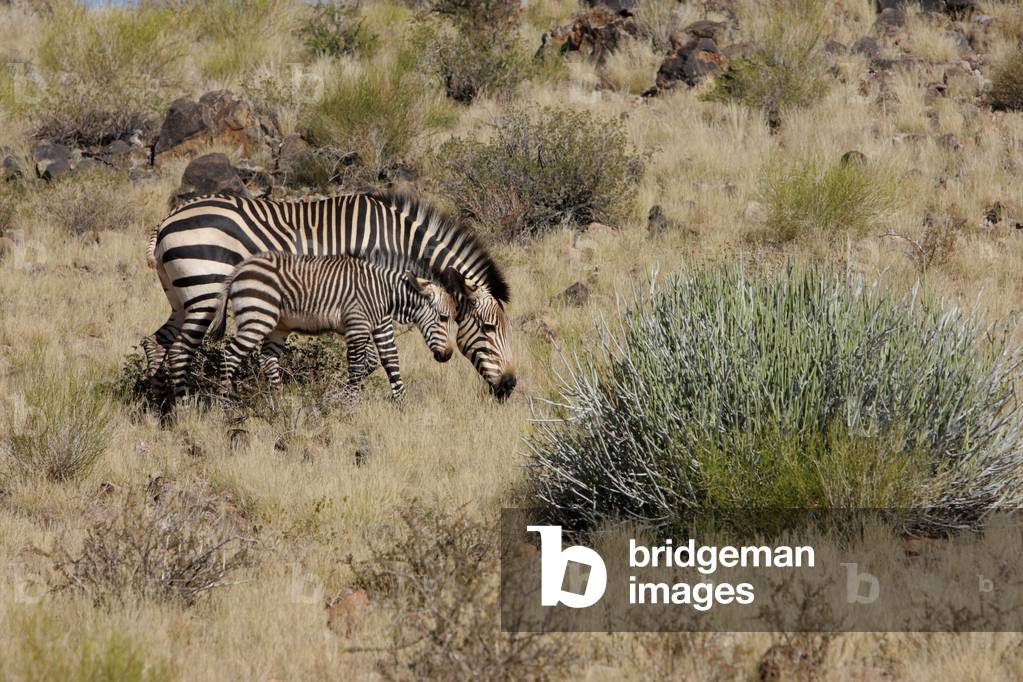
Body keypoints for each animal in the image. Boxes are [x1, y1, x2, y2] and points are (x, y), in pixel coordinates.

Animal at [209, 252, 457, 401]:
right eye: (444, 318)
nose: (447, 356)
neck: (385, 293)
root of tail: (240, 267)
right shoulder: (357, 327)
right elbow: (357, 366)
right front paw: (349, 404)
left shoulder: (376, 326)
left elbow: (388, 361)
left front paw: (400, 404)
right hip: (257, 317)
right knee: (230, 354)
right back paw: (224, 402)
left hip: (278, 325)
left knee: (268, 359)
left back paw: (278, 400)